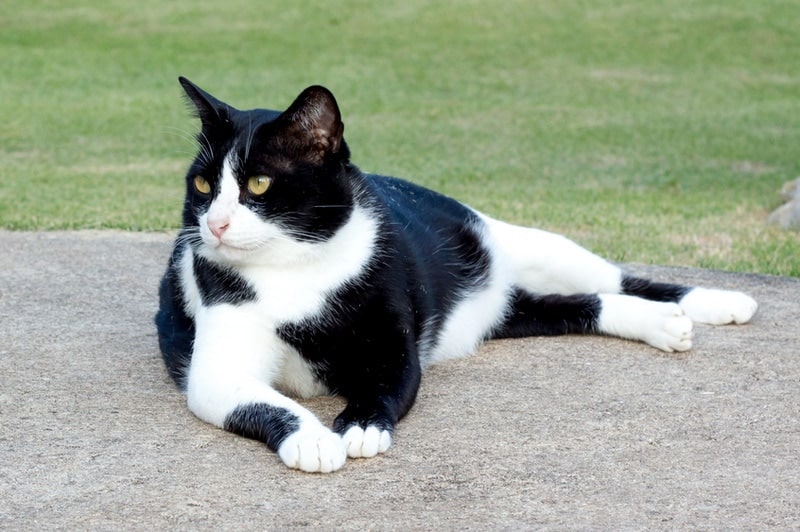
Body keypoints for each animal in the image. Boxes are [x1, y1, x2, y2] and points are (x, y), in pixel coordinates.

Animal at [155, 77, 756, 472]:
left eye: (258, 184)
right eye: (203, 185)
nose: (214, 224)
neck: (296, 271)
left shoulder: (391, 350)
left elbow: (385, 387)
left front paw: (358, 427)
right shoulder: (217, 371)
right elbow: (263, 401)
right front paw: (313, 438)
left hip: (536, 246)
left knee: (616, 279)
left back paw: (713, 302)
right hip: (512, 308)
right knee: (580, 306)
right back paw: (665, 323)